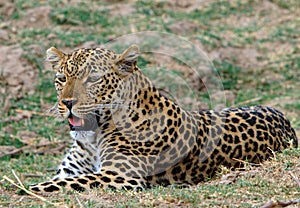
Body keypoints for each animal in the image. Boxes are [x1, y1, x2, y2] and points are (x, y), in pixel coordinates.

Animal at [29, 44, 296, 193]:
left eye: (93, 79)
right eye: (61, 78)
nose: (67, 103)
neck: (92, 138)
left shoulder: (121, 175)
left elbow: (50, 185)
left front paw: (25, 189)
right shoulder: (69, 171)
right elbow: (58, 180)